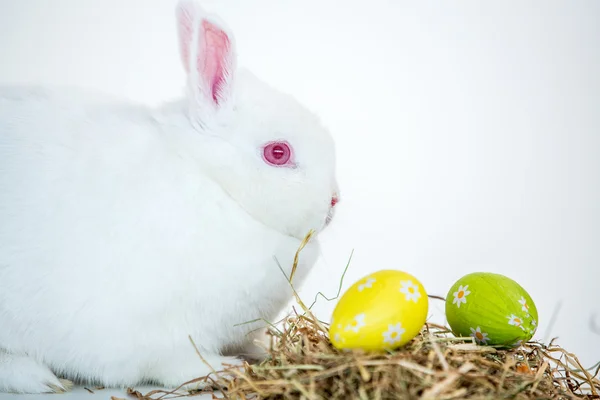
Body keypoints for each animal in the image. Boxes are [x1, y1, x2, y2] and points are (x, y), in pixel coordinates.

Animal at [0, 0, 338, 394]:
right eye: (278, 153)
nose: (334, 202)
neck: (213, 183)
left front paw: (264, 349)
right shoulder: (158, 336)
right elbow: (180, 364)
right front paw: (225, 369)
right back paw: (42, 378)